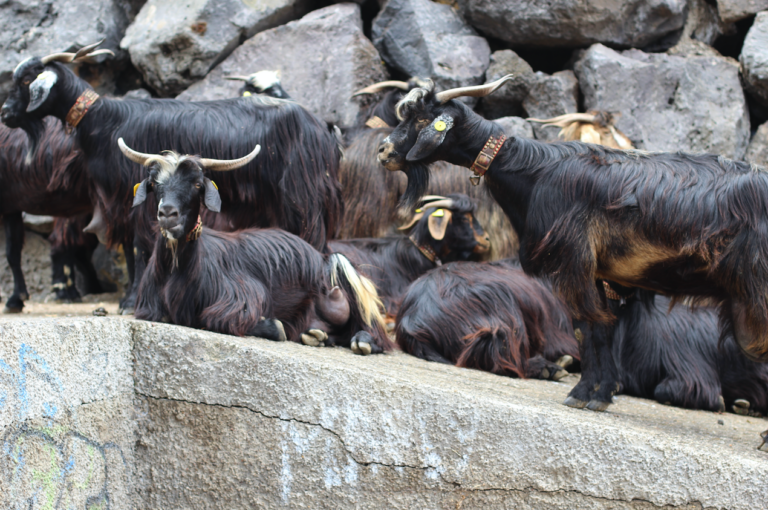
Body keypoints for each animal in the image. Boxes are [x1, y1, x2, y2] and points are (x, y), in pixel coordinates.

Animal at [0, 43, 342, 312]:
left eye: (27, 80)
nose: (5, 113)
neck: (105, 120)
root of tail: (323, 130)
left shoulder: (132, 197)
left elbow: (137, 246)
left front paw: (130, 301)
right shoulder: (129, 198)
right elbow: (132, 248)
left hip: (302, 197)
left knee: (313, 239)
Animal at [124, 139, 390, 354]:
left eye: (197, 184)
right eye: (154, 183)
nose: (168, 213)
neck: (178, 269)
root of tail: (320, 257)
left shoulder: (243, 295)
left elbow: (215, 318)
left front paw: (275, 325)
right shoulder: (149, 310)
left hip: (340, 267)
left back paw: (364, 340)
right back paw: (316, 336)